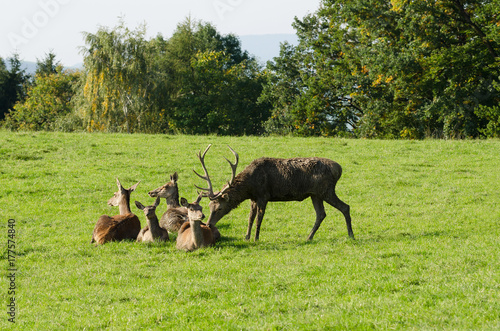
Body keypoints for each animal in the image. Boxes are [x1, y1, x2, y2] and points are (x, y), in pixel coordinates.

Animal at [193, 145, 354, 241]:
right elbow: (250, 218)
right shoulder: (253, 199)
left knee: (345, 207)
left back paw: (351, 235)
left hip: (326, 190)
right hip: (315, 194)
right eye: (209, 206)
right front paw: (246, 237)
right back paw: (309, 237)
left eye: (220, 207)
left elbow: (259, 219)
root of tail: (339, 169)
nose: (208, 224)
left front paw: (256, 238)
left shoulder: (263, 196)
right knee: (321, 214)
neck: (249, 186)